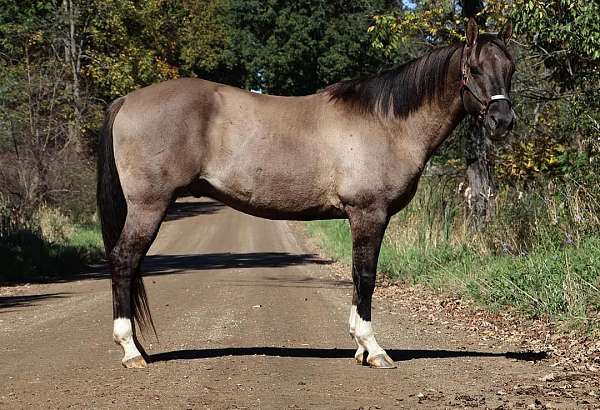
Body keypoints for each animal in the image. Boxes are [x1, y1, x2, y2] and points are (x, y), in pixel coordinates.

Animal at [97, 18, 516, 368]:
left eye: (510, 69)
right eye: (475, 69)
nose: (503, 122)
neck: (387, 122)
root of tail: (126, 100)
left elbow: (357, 275)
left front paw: (360, 348)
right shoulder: (369, 213)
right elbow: (366, 275)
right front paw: (373, 348)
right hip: (149, 206)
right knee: (124, 260)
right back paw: (131, 351)